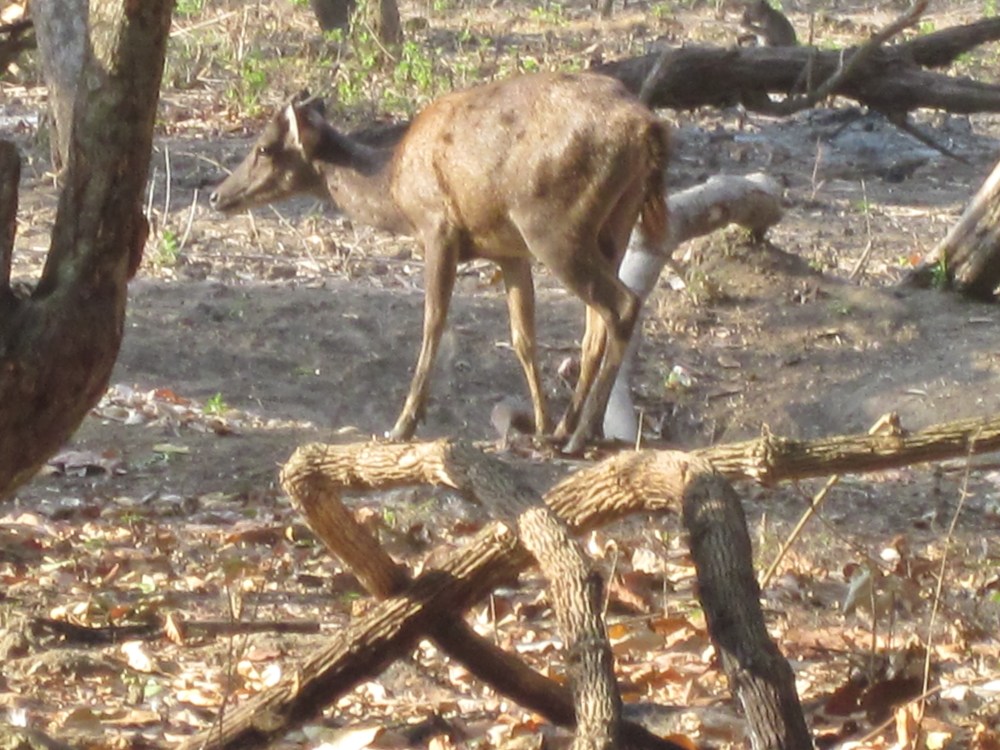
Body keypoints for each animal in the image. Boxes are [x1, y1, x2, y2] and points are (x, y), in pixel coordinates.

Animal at [210, 71, 669, 454]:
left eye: (264, 148)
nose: (217, 195)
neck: (394, 190)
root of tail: (647, 127)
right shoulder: (508, 251)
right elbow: (523, 337)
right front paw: (539, 425)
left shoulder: (438, 228)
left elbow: (433, 321)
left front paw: (403, 424)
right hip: (613, 225)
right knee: (596, 324)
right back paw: (564, 430)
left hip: (552, 227)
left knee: (621, 306)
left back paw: (581, 434)